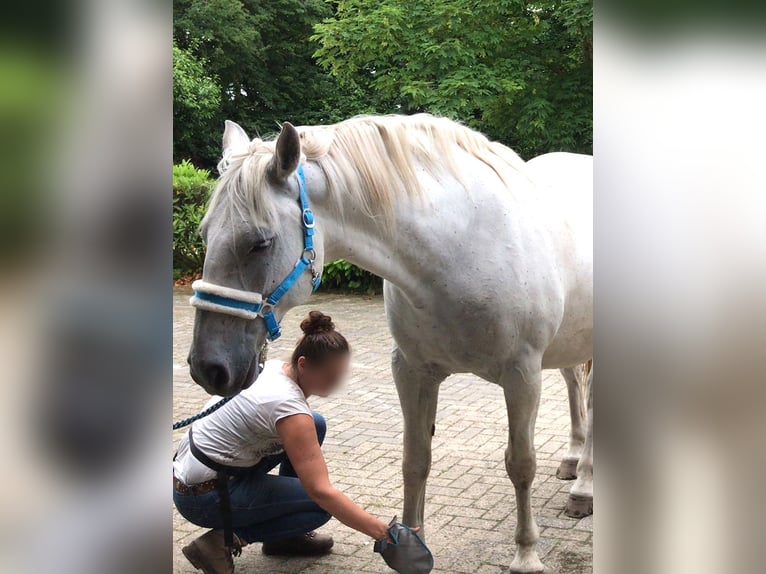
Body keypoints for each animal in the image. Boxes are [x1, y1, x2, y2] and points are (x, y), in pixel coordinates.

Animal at [186, 115, 592, 572]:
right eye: (205, 234)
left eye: (259, 242)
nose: (208, 368)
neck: (463, 244)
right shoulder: (413, 371)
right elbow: (415, 459)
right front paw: (412, 543)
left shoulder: (522, 375)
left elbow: (521, 464)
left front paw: (525, 555)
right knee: (575, 387)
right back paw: (573, 462)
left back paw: (584, 487)